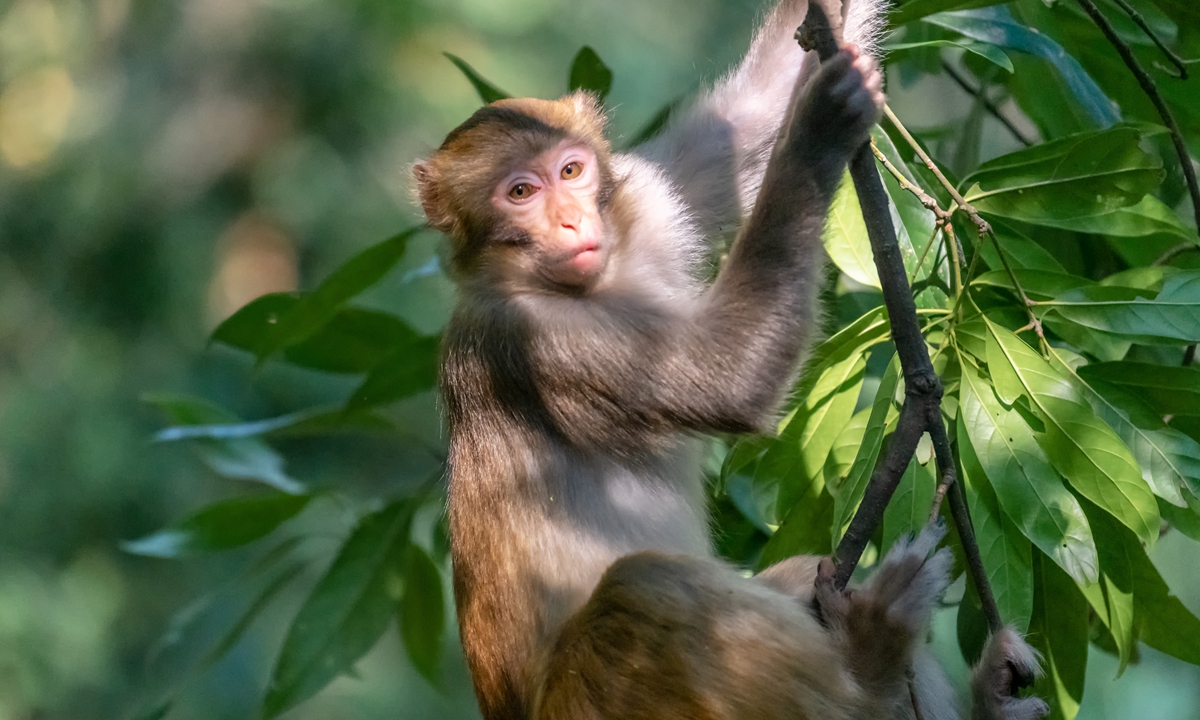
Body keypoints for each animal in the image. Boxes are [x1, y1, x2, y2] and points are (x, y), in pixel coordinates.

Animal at [412, 0, 1050, 718]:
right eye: (520, 193)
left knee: (789, 579)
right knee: (644, 587)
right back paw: (872, 665)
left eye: (571, 172)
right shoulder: (533, 339)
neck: (592, 284)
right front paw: (819, 128)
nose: (573, 223)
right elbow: (727, 379)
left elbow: (749, 118)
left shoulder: (646, 203)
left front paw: (821, 39)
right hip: (594, 701)